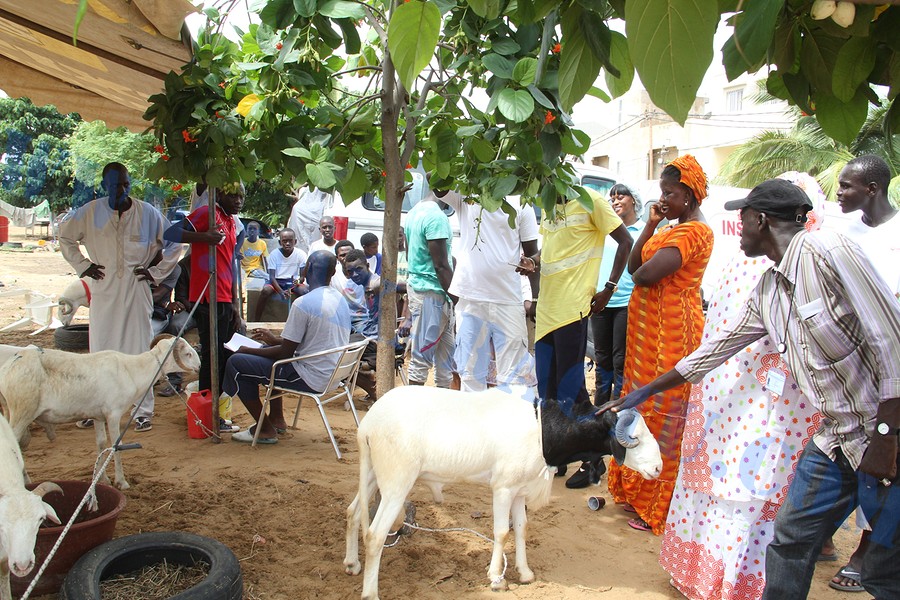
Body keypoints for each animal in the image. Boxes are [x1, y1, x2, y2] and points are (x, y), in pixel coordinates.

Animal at [0, 336, 199, 490]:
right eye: (187, 354)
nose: (199, 366)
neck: (132, 370)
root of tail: (8, 368)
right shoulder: (113, 414)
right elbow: (116, 446)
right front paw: (122, 482)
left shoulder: (97, 415)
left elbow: (101, 444)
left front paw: (103, 479)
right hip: (22, 412)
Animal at [344, 386, 660, 596]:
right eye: (634, 437)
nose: (658, 468)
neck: (542, 429)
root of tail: (368, 425)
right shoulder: (504, 488)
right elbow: (501, 532)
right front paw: (496, 577)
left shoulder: (519, 490)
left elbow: (521, 529)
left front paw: (525, 573)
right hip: (397, 481)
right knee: (375, 534)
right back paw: (370, 592)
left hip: (373, 473)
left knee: (352, 512)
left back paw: (351, 564)